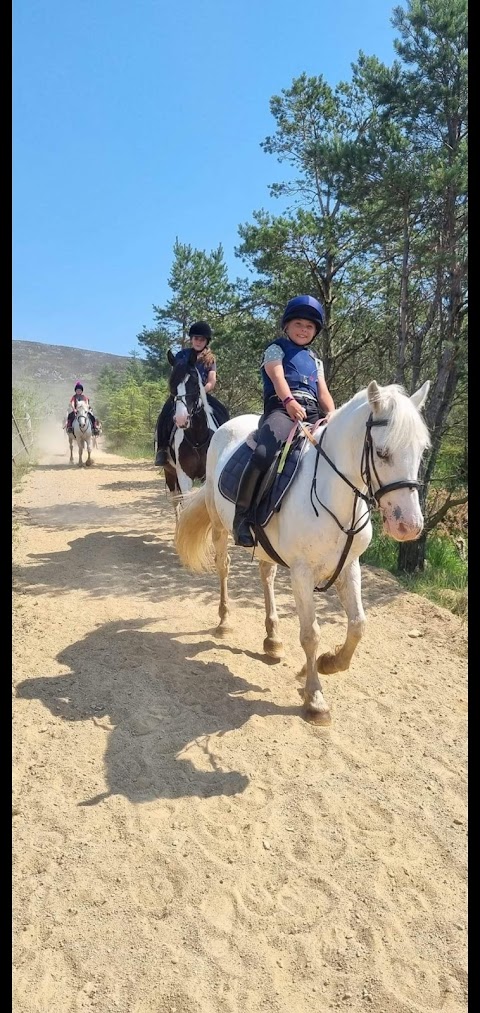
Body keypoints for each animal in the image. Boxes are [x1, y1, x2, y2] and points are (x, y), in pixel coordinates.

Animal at [163, 350, 222, 514]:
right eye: (171, 382)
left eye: (195, 382)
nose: (181, 419)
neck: (197, 438)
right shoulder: (184, 476)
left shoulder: (206, 476)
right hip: (169, 473)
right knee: (175, 503)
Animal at [175, 376, 431, 725]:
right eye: (382, 452)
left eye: (421, 451)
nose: (409, 525)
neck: (332, 495)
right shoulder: (302, 573)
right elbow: (310, 634)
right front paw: (315, 698)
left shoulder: (349, 566)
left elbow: (358, 625)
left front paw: (329, 662)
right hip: (218, 524)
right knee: (223, 567)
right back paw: (225, 622)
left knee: (266, 575)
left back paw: (273, 640)